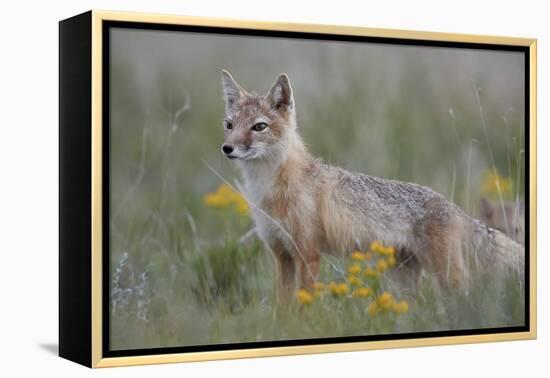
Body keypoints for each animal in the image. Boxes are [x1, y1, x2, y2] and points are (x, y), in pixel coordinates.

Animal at [220, 69, 528, 296]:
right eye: (229, 125)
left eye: (259, 127)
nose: (227, 148)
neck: (268, 190)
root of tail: (454, 207)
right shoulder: (281, 255)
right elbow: (282, 312)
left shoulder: (308, 254)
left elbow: (303, 307)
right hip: (404, 281)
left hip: (448, 278)